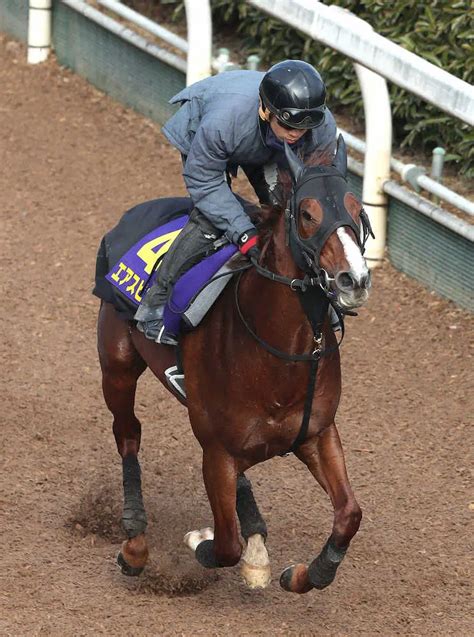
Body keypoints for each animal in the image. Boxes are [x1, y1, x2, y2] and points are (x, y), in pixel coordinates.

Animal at [95, 137, 374, 592]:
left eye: (357, 210)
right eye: (307, 214)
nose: (355, 280)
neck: (278, 355)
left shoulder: (317, 434)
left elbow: (349, 513)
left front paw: (304, 573)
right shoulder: (218, 451)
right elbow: (225, 544)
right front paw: (199, 538)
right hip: (117, 364)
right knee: (128, 433)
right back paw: (135, 542)